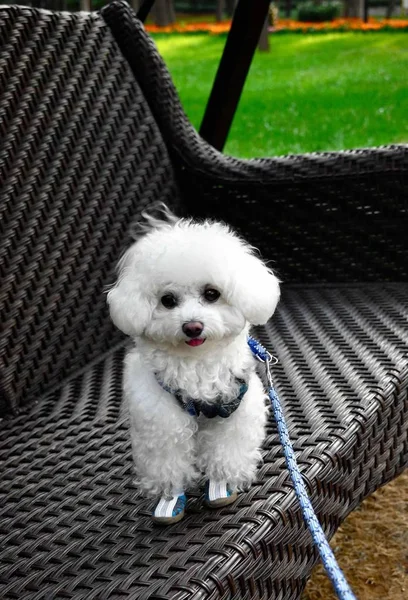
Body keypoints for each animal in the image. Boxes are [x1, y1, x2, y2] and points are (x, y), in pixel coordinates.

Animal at [107, 207, 280, 524]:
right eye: (167, 300)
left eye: (211, 293)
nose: (192, 327)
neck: (198, 363)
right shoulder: (161, 420)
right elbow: (169, 463)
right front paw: (169, 498)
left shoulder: (234, 411)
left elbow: (226, 451)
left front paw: (222, 483)